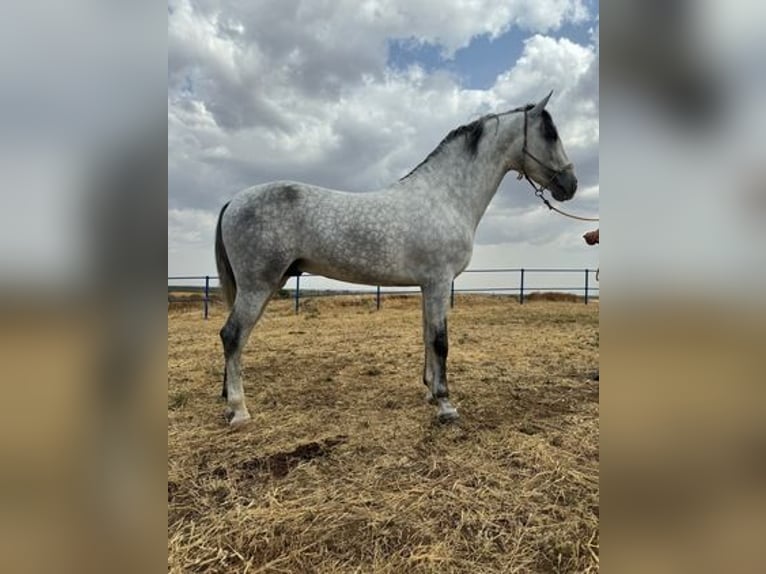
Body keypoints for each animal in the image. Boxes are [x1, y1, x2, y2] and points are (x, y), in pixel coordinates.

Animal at [214, 92, 576, 428]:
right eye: (551, 134)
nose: (570, 185)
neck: (445, 196)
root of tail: (234, 201)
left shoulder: (428, 285)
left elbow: (427, 336)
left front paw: (430, 392)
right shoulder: (439, 282)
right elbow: (440, 341)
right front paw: (446, 404)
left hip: (271, 283)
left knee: (237, 338)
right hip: (257, 285)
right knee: (232, 336)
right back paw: (239, 411)